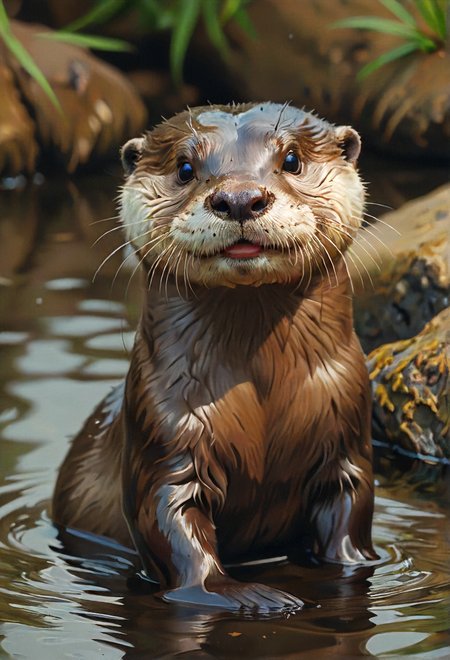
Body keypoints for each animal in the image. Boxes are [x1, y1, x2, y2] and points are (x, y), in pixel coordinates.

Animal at [53, 102, 377, 614]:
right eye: (185, 168)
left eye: (292, 160)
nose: (240, 197)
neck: (265, 399)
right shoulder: (162, 426)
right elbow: (168, 520)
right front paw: (245, 595)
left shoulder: (346, 426)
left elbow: (352, 512)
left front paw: (352, 565)